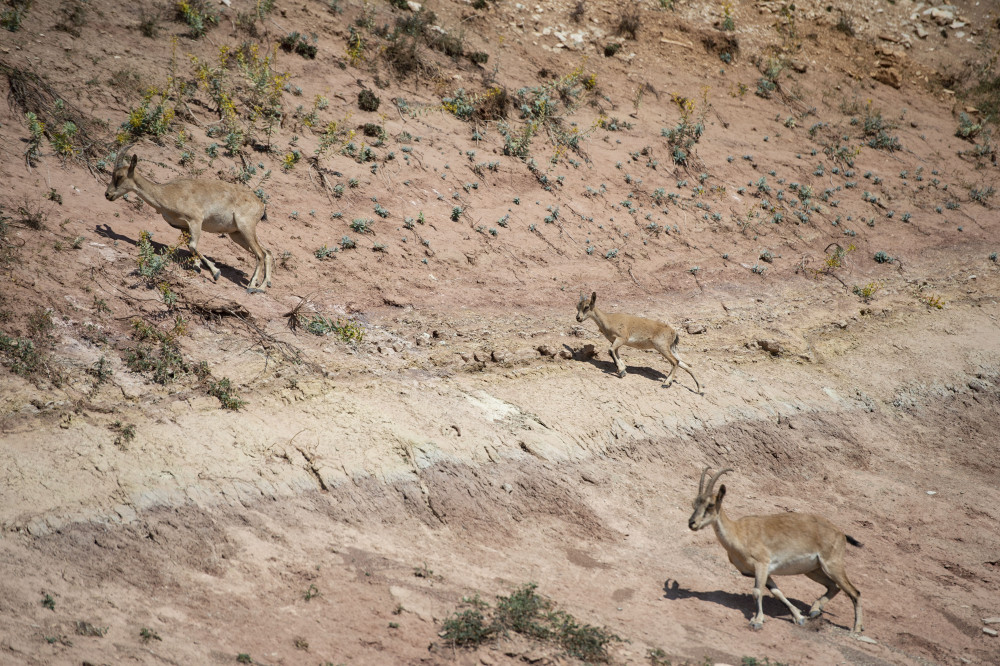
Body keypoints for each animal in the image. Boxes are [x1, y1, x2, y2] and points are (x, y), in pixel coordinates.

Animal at [105, 154, 274, 292]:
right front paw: (197, 266)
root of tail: (261, 205)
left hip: (246, 227)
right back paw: (263, 286)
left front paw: (215, 272)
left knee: (260, 254)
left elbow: (193, 245)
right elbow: (190, 246)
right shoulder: (182, 226)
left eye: (119, 176)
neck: (168, 193)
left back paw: (252, 286)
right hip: (237, 234)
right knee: (267, 252)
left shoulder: (195, 220)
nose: (107, 194)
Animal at [684, 466, 864, 632]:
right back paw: (814, 611)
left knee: (854, 591)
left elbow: (757, 591)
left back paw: (856, 628)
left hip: (832, 564)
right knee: (834, 586)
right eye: (694, 503)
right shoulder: (761, 571)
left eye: (710, 505)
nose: (692, 523)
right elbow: (777, 592)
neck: (739, 533)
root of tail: (840, 533)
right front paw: (799, 617)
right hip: (813, 569)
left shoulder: (761, 564)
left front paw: (757, 621)